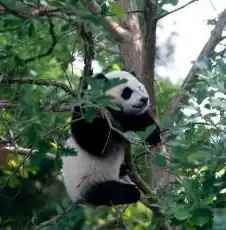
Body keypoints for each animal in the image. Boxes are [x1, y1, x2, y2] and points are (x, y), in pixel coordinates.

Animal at [61, 69, 161, 207]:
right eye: (127, 92)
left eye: (140, 88)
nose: (144, 99)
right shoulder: (89, 110)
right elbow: (94, 142)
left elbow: (147, 128)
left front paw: (153, 134)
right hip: (86, 183)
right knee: (108, 192)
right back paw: (130, 192)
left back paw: (123, 170)